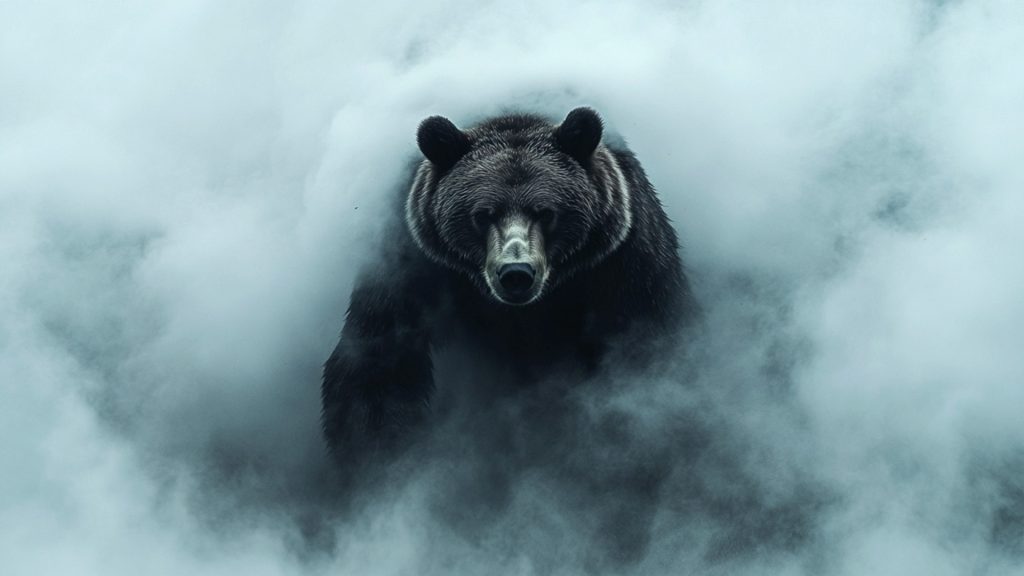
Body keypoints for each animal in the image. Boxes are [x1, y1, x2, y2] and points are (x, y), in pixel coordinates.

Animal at [321, 107, 697, 457]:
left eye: (546, 212)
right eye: (482, 214)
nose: (516, 273)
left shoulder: (623, 262)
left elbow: (646, 347)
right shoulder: (408, 260)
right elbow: (378, 364)